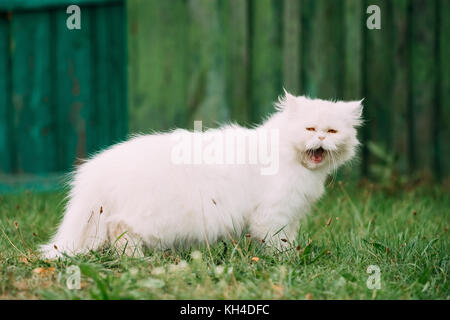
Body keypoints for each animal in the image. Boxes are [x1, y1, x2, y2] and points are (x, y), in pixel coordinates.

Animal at [40, 89, 364, 258]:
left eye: (331, 132)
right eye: (310, 128)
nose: (320, 139)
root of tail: (99, 165)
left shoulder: (292, 214)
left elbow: (289, 238)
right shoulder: (274, 213)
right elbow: (276, 243)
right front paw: (284, 263)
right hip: (149, 217)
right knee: (121, 231)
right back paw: (137, 259)